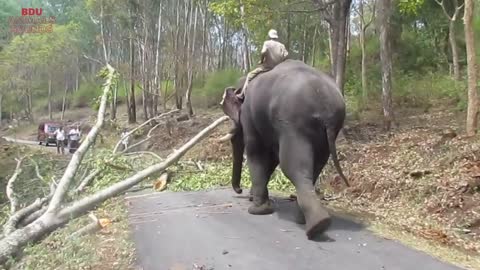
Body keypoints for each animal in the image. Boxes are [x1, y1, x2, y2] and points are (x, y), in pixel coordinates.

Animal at [218, 58, 348, 238]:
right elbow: (271, 158)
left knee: (293, 166)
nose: (240, 190)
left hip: (293, 124)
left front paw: (257, 210)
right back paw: (306, 220)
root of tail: (325, 104)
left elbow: (257, 151)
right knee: (314, 167)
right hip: (326, 133)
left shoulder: (250, 116)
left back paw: (316, 225)